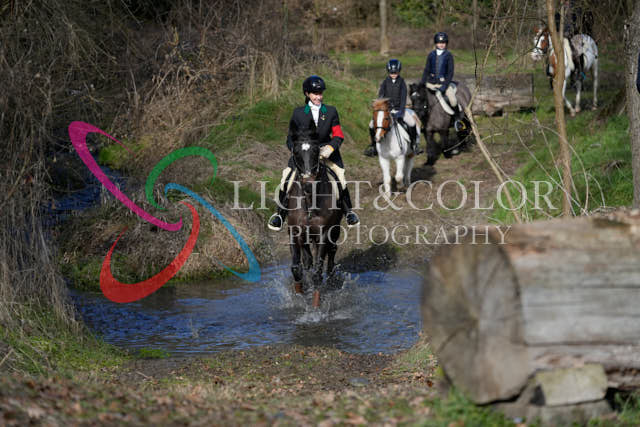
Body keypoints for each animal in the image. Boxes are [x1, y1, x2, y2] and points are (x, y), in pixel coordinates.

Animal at [286, 122, 343, 308]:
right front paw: (299, 297)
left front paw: (315, 307)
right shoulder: (294, 232)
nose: (308, 185)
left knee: (331, 252)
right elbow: (297, 268)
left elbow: (318, 272)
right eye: (296, 152)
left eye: (316, 151)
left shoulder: (324, 234)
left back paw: (331, 280)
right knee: (307, 260)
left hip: (335, 229)